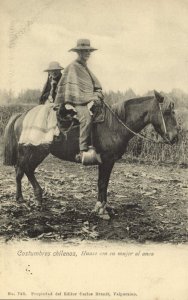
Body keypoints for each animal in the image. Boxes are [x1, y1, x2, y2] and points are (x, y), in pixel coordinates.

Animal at [3, 90, 179, 219]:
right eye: (167, 111)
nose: (175, 137)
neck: (114, 125)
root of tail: (22, 115)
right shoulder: (107, 161)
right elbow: (102, 184)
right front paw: (101, 210)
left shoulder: (106, 162)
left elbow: (103, 184)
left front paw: (102, 207)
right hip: (35, 151)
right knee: (25, 169)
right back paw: (36, 197)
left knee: (20, 171)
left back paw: (23, 198)